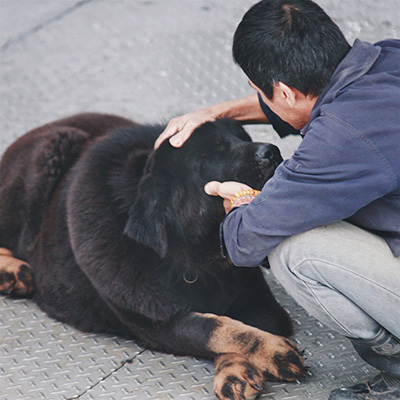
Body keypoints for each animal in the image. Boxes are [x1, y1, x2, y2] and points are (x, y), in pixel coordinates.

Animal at [0, 113, 304, 400]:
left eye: (243, 138)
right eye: (212, 152)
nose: (272, 151)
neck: (192, 256)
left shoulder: (261, 305)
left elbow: (236, 326)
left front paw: (235, 371)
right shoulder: (159, 325)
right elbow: (216, 327)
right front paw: (275, 352)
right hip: (47, 153)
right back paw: (13, 271)